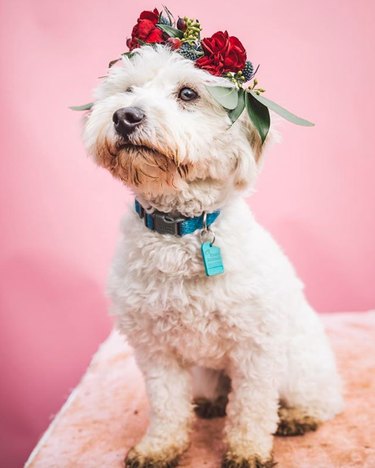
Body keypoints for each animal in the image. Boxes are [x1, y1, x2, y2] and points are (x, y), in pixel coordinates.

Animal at [82, 43, 344, 468]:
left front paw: (248, 450)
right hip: (207, 372)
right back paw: (211, 403)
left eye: (188, 93)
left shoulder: (256, 348)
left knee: (323, 400)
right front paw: (159, 447)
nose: (125, 116)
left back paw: (298, 416)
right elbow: (167, 405)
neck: (179, 229)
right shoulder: (155, 349)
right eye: (127, 90)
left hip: (299, 364)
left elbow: (251, 408)